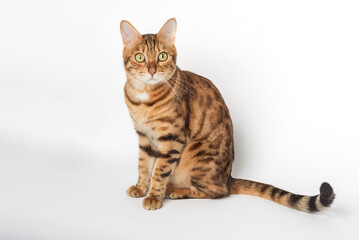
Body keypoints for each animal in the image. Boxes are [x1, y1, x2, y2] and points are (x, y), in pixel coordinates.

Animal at [119, 18, 336, 210]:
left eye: (162, 56)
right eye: (140, 57)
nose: (152, 70)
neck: (144, 97)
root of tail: (228, 177)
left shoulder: (172, 138)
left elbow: (159, 171)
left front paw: (153, 196)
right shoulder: (144, 136)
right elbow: (144, 165)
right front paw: (141, 188)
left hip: (197, 155)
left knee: (218, 191)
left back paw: (175, 189)